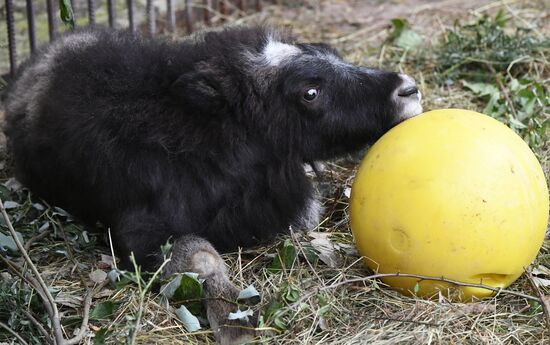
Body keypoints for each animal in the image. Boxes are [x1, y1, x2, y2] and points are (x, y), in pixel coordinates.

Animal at [4, 25, 422, 342]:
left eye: (331, 54)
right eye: (310, 92)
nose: (408, 90)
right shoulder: (141, 235)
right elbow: (201, 255)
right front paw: (235, 318)